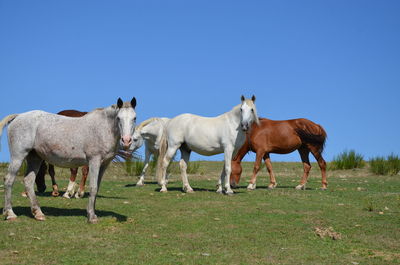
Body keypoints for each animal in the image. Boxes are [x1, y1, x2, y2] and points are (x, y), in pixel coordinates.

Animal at [0, 97, 137, 223]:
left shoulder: (104, 165)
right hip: (18, 156)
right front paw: (91, 217)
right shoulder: (94, 161)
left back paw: (38, 213)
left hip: (35, 158)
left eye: (134, 118)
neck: (102, 128)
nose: (126, 140)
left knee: (28, 181)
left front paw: (91, 212)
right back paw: (10, 213)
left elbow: (97, 188)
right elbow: (93, 188)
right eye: (118, 118)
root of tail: (18, 116)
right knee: (9, 180)